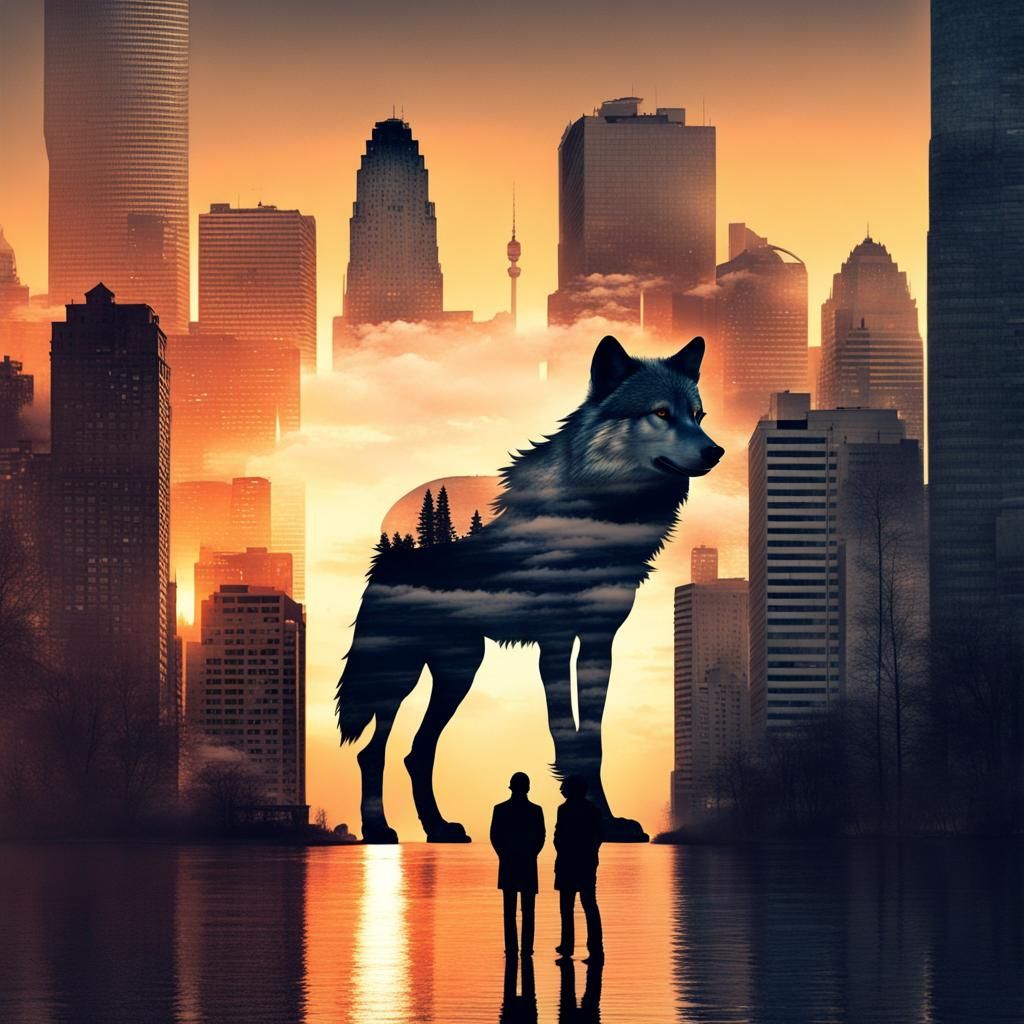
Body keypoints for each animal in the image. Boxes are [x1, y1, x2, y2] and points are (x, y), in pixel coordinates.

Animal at [336, 334, 723, 843]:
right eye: (660, 412)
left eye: (698, 414)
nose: (716, 451)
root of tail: (387, 537)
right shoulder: (555, 642)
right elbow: (566, 733)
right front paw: (596, 816)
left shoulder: (599, 642)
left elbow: (592, 739)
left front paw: (607, 821)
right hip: (399, 671)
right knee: (373, 751)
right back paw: (379, 829)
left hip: (460, 670)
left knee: (417, 752)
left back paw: (439, 828)